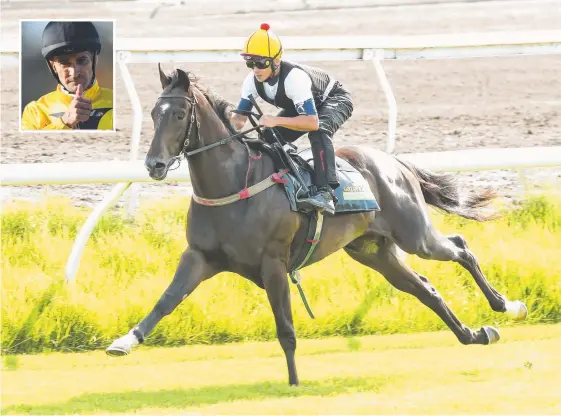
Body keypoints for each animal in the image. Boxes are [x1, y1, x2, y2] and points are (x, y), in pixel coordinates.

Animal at [107, 66, 528, 386]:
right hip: (374, 251)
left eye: (178, 115)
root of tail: (395, 162)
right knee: (427, 289)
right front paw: (125, 341)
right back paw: (475, 334)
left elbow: (286, 327)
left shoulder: (274, 263)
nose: (155, 165)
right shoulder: (199, 256)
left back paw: (507, 306)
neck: (233, 185)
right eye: (153, 114)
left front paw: (294, 382)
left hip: (414, 236)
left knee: (460, 247)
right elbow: (165, 300)